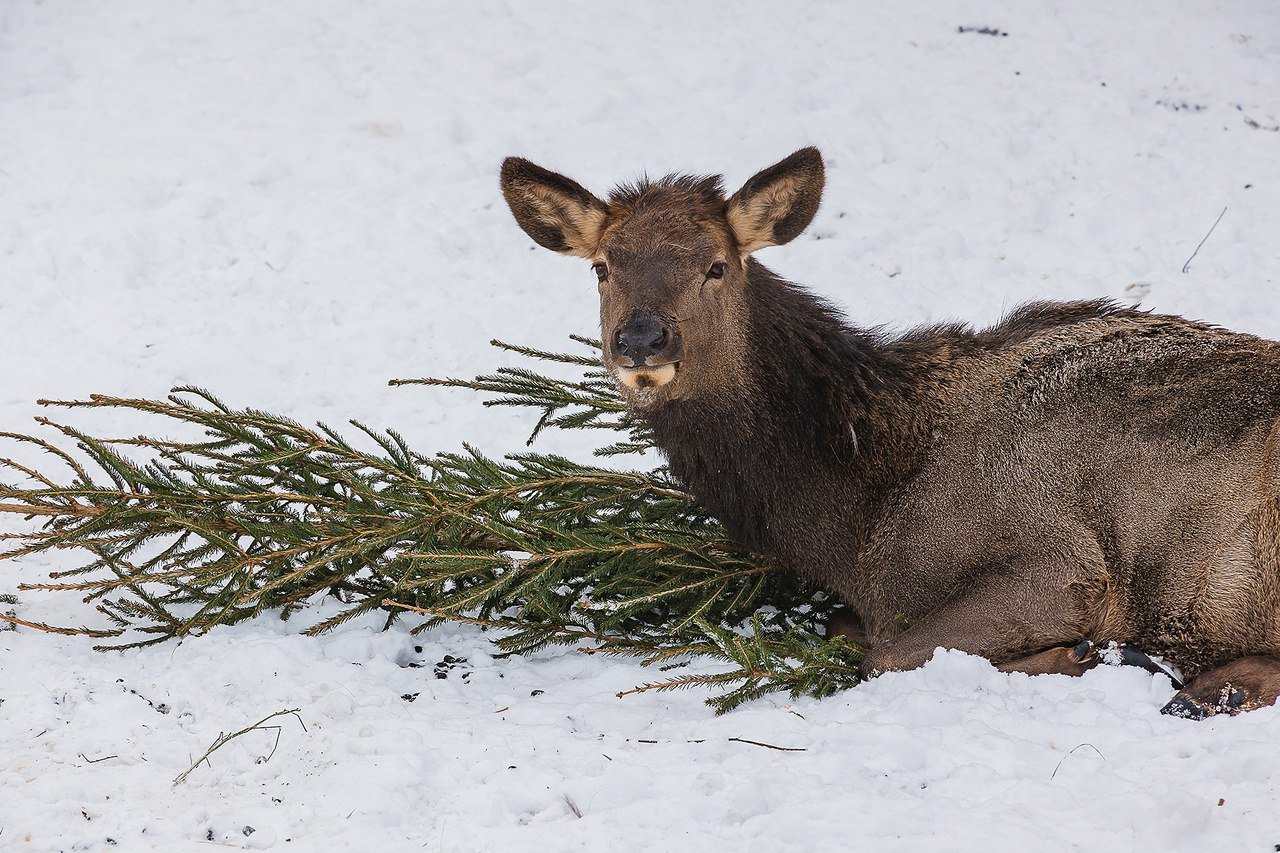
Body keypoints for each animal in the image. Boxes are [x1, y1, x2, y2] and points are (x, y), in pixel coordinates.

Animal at [496, 147, 1280, 717]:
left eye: (715, 265)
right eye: (603, 267)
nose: (641, 340)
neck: (859, 517)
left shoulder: (1063, 564)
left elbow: (886, 654)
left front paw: (1095, 654)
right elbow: (850, 632)